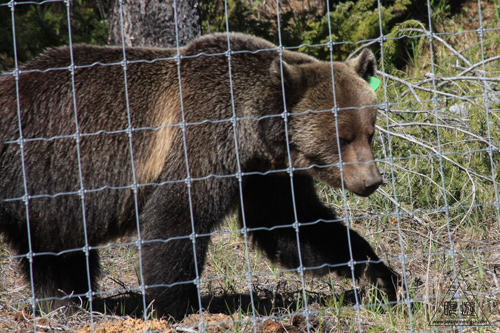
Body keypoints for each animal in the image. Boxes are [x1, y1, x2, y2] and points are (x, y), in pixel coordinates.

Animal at [0, 32, 398, 318]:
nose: (371, 181)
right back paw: (69, 304)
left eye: (369, 132)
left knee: (54, 252)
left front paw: (380, 275)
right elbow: (177, 218)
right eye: (341, 138)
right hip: (39, 171)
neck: (251, 130)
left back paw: (65, 303)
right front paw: (176, 306)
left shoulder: (263, 172)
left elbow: (292, 223)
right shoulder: (205, 138)